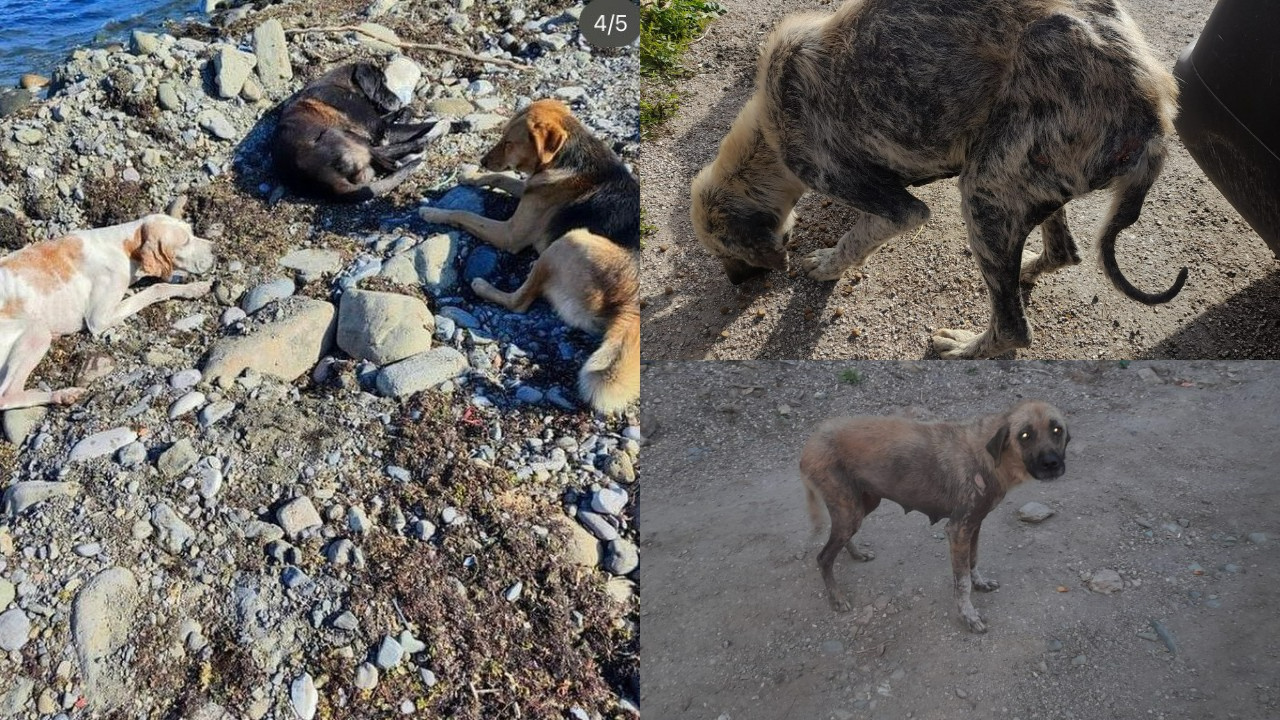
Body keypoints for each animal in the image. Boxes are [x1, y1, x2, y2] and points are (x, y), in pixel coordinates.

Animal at [0, 212, 215, 409]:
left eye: (191, 231)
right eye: (185, 241)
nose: (216, 250)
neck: (125, 246)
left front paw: (190, 285)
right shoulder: (99, 318)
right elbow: (157, 288)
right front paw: (193, 288)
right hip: (36, 333)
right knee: (6, 396)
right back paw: (61, 394)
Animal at [275, 61, 445, 199]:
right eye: (382, 82)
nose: (399, 100)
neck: (340, 84)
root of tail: (321, 177)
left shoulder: (381, 124)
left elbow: (406, 112)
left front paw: (402, 115)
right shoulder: (381, 128)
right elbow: (415, 126)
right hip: (337, 133)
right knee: (391, 153)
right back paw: (429, 137)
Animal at [691, 0, 1187, 358]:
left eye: (724, 252)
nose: (734, 285)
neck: (766, 131)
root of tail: (1155, 110)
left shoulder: (884, 200)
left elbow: (859, 237)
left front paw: (828, 263)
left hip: (986, 191)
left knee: (1013, 329)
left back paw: (966, 347)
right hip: (1029, 172)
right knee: (1062, 251)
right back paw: (1025, 266)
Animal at [798, 399, 1070, 630]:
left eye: (1057, 430)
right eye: (1025, 435)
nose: (1052, 464)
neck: (988, 456)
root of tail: (811, 440)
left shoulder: (975, 524)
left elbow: (973, 562)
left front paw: (980, 583)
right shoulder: (958, 530)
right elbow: (962, 582)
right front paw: (968, 616)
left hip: (862, 505)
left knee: (842, 539)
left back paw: (857, 553)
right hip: (850, 510)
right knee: (823, 557)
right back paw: (836, 598)